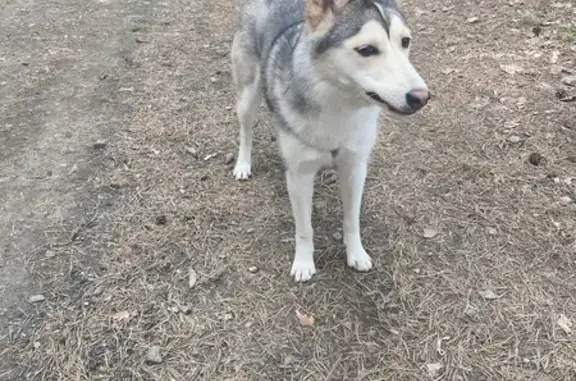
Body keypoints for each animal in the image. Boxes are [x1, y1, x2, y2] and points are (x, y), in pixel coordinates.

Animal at [230, 0, 428, 280]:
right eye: (367, 50)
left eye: (405, 41)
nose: (422, 97)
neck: (338, 102)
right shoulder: (299, 176)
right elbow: (304, 228)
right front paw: (303, 263)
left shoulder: (355, 168)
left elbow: (352, 219)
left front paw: (356, 254)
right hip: (248, 95)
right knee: (246, 130)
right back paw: (243, 164)